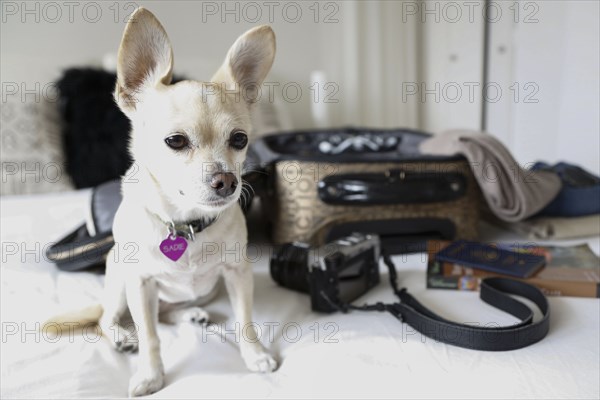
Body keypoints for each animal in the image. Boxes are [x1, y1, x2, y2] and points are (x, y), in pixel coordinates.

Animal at [51, 6, 276, 396]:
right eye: (175, 141)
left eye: (240, 139)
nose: (227, 181)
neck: (186, 224)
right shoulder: (141, 284)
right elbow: (151, 336)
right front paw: (150, 375)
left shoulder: (238, 274)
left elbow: (245, 320)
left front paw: (255, 354)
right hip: (118, 280)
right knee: (109, 319)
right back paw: (121, 336)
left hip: (205, 290)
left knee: (168, 313)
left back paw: (190, 313)